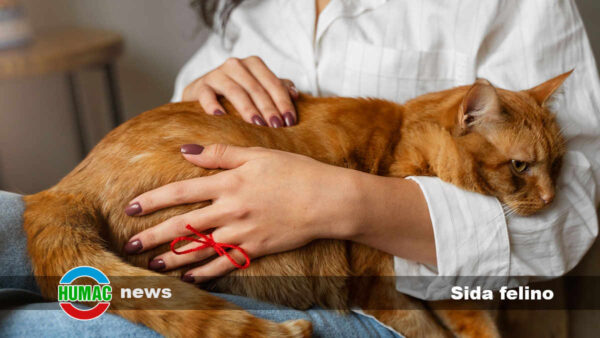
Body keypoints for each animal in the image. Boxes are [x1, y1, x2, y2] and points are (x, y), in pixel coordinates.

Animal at [21, 70, 568, 336]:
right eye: (521, 167)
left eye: (560, 163)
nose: (551, 196)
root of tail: (62, 187)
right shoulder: (380, 291)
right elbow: (429, 331)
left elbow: (476, 323)